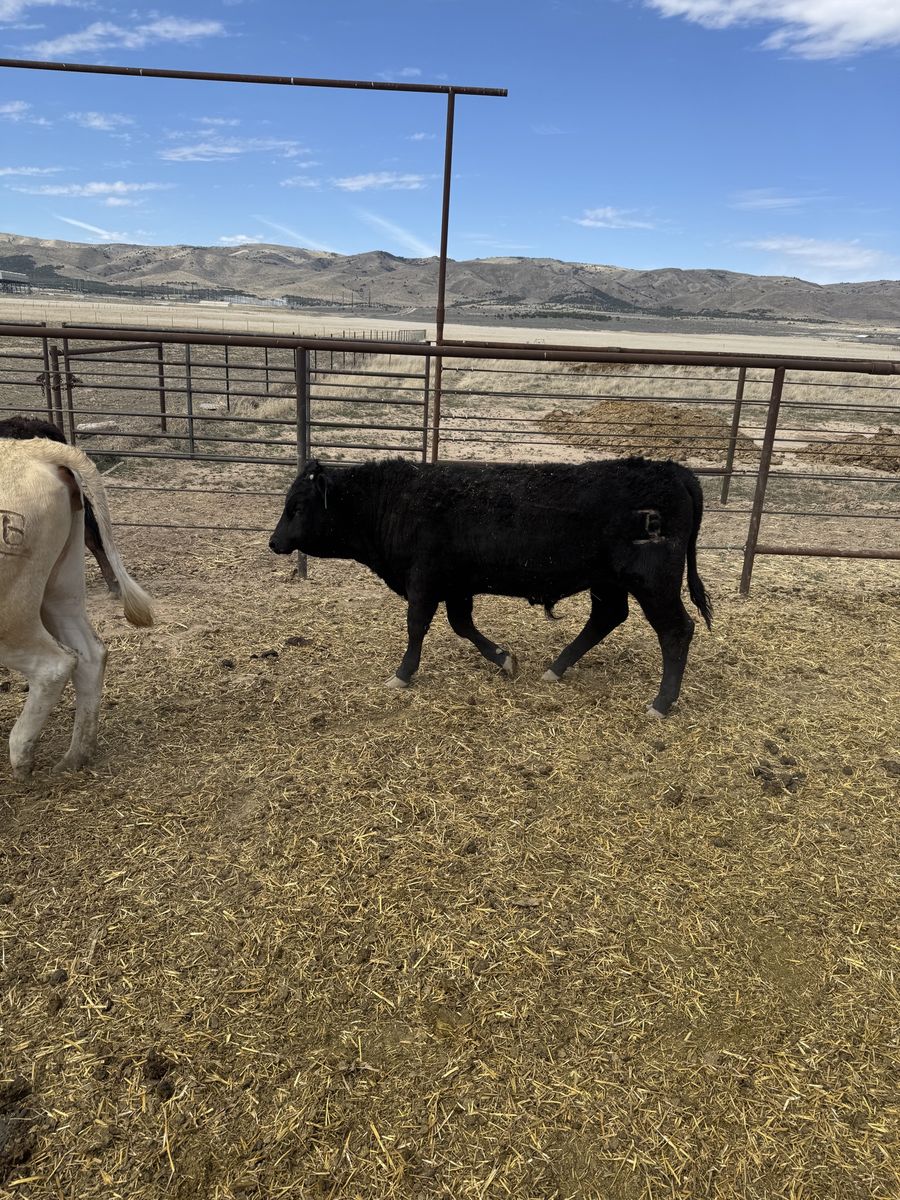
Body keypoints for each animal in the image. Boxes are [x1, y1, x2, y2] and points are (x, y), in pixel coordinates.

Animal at [0, 437, 153, 779]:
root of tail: (35, 450)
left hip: (10, 611)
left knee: (54, 664)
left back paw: (22, 757)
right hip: (61, 588)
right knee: (90, 653)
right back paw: (75, 756)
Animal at [270, 456, 712, 716]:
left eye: (297, 507)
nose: (274, 542)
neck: (397, 499)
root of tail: (673, 470)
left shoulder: (424, 580)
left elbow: (416, 627)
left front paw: (403, 673)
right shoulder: (457, 585)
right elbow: (463, 625)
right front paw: (504, 659)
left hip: (653, 581)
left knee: (676, 630)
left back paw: (662, 702)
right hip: (608, 580)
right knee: (607, 617)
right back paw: (556, 668)